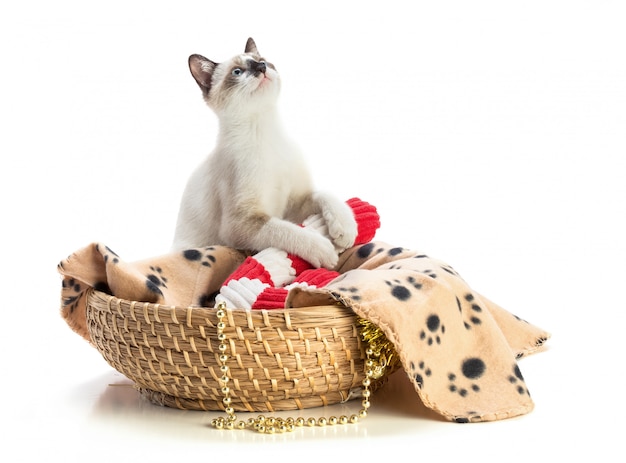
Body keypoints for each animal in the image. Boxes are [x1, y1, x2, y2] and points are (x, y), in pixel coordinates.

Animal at [171, 38, 356, 270]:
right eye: (237, 72)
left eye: (262, 61)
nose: (261, 68)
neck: (265, 131)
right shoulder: (242, 224)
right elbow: (286, 230)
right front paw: (325, 251)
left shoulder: (295, 206)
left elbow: (324, 195)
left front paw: (345, 229)